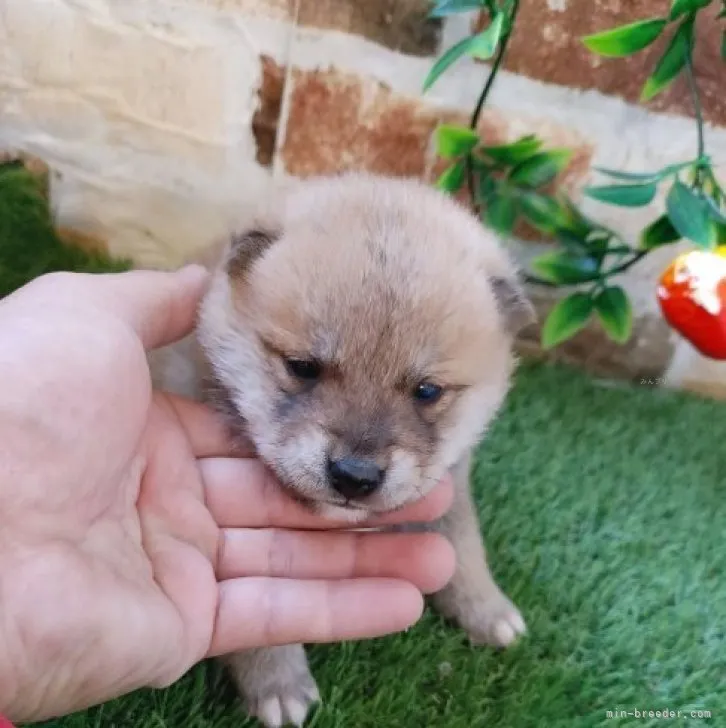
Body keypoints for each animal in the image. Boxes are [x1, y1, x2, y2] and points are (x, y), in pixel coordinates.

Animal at [149, 172, 536, 728]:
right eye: (302, 366)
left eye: (427, 391)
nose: (355, 475)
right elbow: (262, 621)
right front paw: (279, 685)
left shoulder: (451, 483)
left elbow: (463, 547)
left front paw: (487, 610)